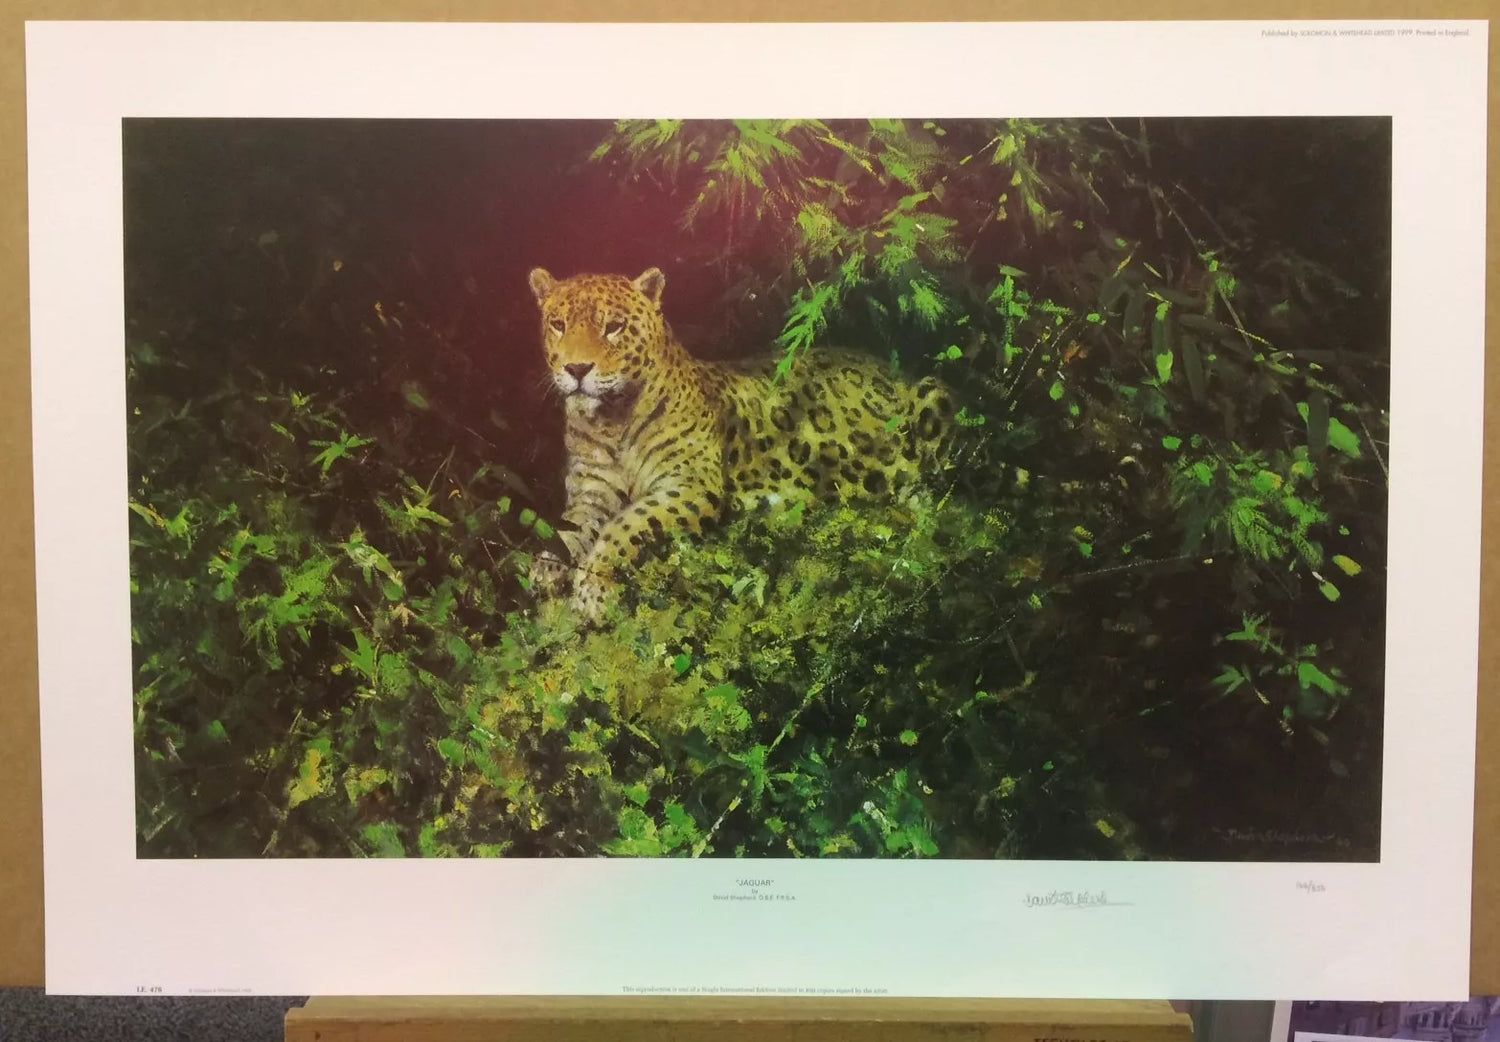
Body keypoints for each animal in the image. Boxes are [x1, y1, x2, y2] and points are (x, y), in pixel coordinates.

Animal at [525, 265, 957, 622]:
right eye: (558, 324)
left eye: (613, 327)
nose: (576, 369)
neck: (610, 421)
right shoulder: (592, 494)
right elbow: (566, 529)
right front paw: (546, 567)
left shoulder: (689, 485)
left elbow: (627, 524)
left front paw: (593, 590)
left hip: (933, 396)